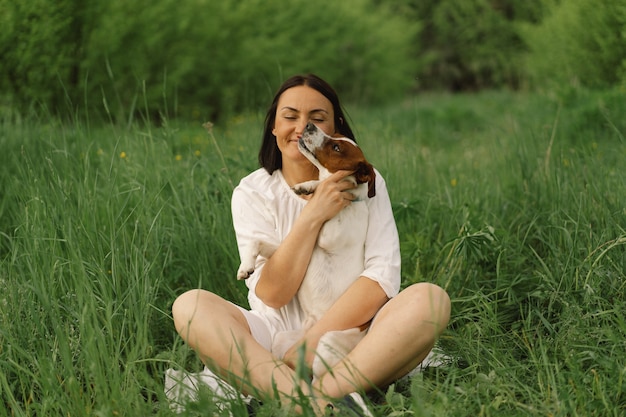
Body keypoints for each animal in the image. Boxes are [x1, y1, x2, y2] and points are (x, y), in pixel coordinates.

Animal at [235, 122, 376, 376]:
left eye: (337, 147)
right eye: (336, 136)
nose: (310, 125)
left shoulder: (329, 234)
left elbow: (337, 186)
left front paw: (315, 186)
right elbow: (256, 242)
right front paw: (246, 267)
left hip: (328, 344)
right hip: (283, 339)